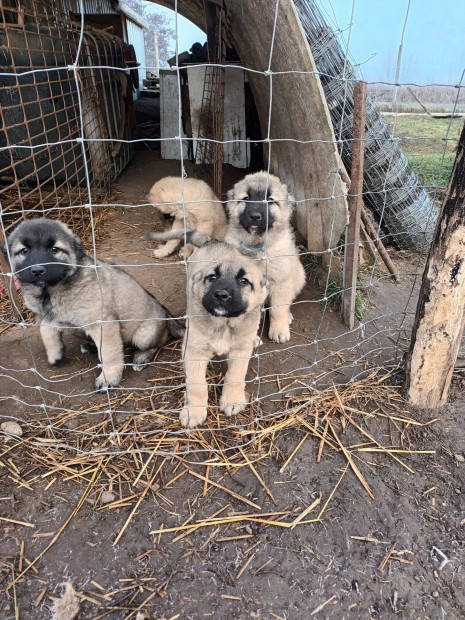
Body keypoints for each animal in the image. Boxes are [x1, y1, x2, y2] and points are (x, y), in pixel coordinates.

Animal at [4, 220, 185, 390]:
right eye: (24, 251)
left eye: (55, 249)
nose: (37, 270)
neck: (51, 290)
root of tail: (166, 314)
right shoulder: (51, 317)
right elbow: (45, 329)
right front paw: (55, 353)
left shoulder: (103, 324)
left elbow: (109, 354)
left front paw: (108, 379)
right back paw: (90, 346)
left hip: (144, 335)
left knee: (159, 341)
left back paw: (141, 357)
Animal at [179, 240, 264, 428]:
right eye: (212, 277)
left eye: (244, 281)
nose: (221, 295)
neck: (224, 324)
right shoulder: (194, 352)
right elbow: (197, 384)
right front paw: (194, 411)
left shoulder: (240, 351)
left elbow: (235, 375)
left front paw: (232, 400)